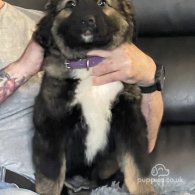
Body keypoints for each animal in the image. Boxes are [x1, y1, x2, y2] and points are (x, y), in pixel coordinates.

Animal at [32, 0, 156, 194]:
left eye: (102, 3)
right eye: (71, 4)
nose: (87, 21)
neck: (89, 63)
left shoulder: (130, 119)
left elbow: (137, 168)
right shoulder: (51, 125)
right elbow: (50, 178)